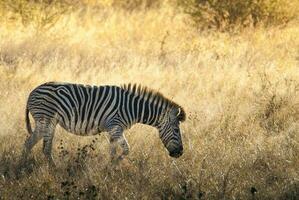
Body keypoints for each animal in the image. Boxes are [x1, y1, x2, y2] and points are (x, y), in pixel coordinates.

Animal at [22, 81, 186, 167]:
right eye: (177, 130)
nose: (180, 153)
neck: (132, 107)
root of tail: (32, 91)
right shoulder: (115, 127)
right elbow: (126, 149)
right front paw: (115, 165)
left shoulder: (113, 130)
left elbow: (112, 151)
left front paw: (110, 169)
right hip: (46, 120)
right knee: (38, 146)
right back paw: (49, 168)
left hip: (46, 122)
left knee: (34, 145)